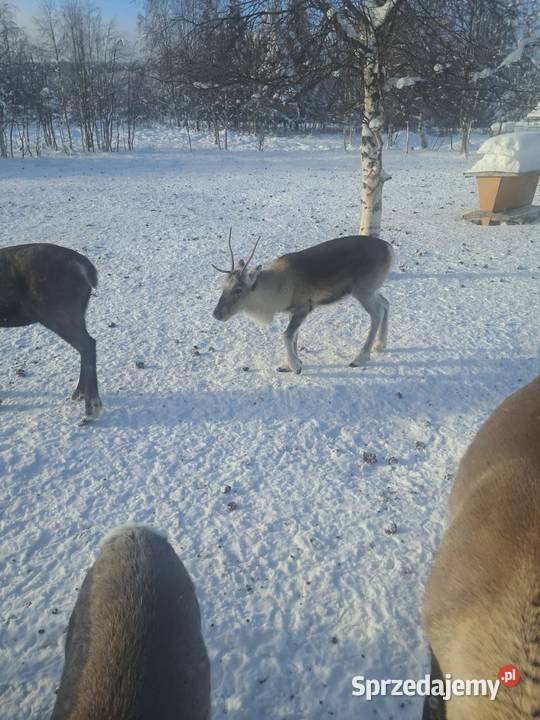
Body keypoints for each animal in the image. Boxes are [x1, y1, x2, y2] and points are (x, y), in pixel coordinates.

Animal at [0, 243, 101, 419]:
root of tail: (85, 267)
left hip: (58, 314)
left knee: (88, 344)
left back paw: (92, 406)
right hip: (75, 314)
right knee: (86, 345)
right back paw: (79, 393)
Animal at [212, 231, 393, 373]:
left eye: (237, 289)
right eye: (223, 286)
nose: (216, 314)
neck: (278, 289)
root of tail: (390, 249)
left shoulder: (304, 307)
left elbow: (287, 335)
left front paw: (295, 366)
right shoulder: (293, 311)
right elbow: (295, 336)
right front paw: (288, 364)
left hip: (363, 290)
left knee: (376, 314)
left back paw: (360, 358)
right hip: (372, 290)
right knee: (386, 303)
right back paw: (380, 344)